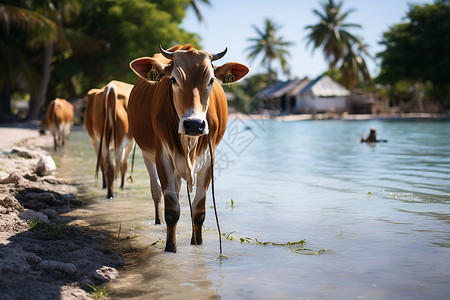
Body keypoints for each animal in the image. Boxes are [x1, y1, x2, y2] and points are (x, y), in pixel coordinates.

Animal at [127, 44, 250, 251]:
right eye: (174, 80)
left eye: (211, 80)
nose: (194, 124)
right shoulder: (162, 157)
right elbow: (172, 210)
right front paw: (170, 248)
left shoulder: (208, 160)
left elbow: (199, 211)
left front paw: (197, 244)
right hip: (146, 154)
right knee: (156, 190)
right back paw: (158, 222)